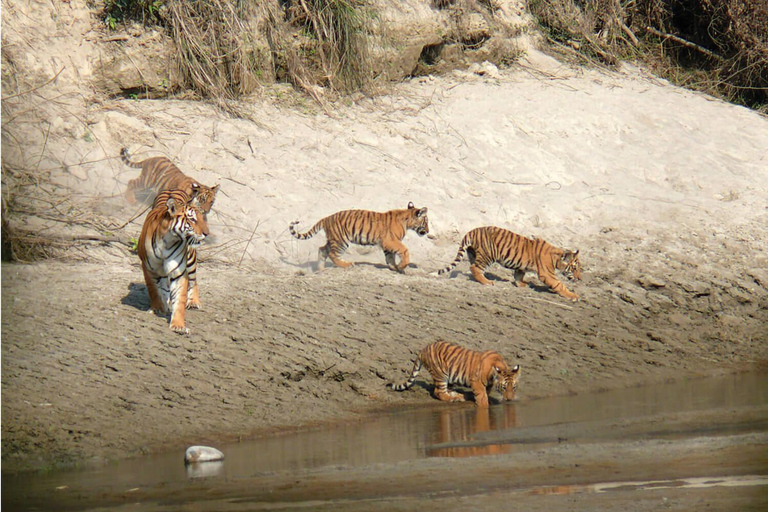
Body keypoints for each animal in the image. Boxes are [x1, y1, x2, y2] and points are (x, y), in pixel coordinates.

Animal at [138, 190, 208, 334]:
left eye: (202, 218)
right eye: (192, 219)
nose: (207, 233)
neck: (168, 240)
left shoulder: (179, 272)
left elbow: (180, 299)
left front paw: (178, 325)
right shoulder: (148, 268)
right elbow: (154, 290)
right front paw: (158, 308)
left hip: (191, 259)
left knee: (194, 280)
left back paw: (194, 302)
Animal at [290, 200, 428, 272]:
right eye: (426, 221)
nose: (427, 231)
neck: (407, 220)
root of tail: (326, 218)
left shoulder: (387, 243)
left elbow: (390, 257)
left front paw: (395, 267)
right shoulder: (391, 240)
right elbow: (404, 251)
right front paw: (401, 266)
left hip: (333, 239)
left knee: (322, 250)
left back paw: (320, 269)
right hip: (341, 241)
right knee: (333, 254)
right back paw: (347, 265)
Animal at [388, 340, 520, 408]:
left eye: (514, 387)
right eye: (504, 387)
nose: (509, 399)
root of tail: (423, 349)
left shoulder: (488, 385)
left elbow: (486, 393)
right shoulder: (476, 381)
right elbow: (481, 396)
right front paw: (485, 405)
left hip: (450, 377)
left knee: (447, 390)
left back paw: (459, 396)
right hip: (441, 374)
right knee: (438, 392)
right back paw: (453, 398)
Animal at [438, 226, 584, 302]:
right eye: (574, 268)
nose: (579, 278)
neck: (556, 258)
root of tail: (472, 231)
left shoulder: (521, 266)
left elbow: (519, 275)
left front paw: (522, 284)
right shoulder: (547, 274)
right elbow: (560, 284)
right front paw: (573, 296)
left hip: (473, 254)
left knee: (473, 267)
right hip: (488, 255)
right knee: (474, 268)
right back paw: (487, 282)